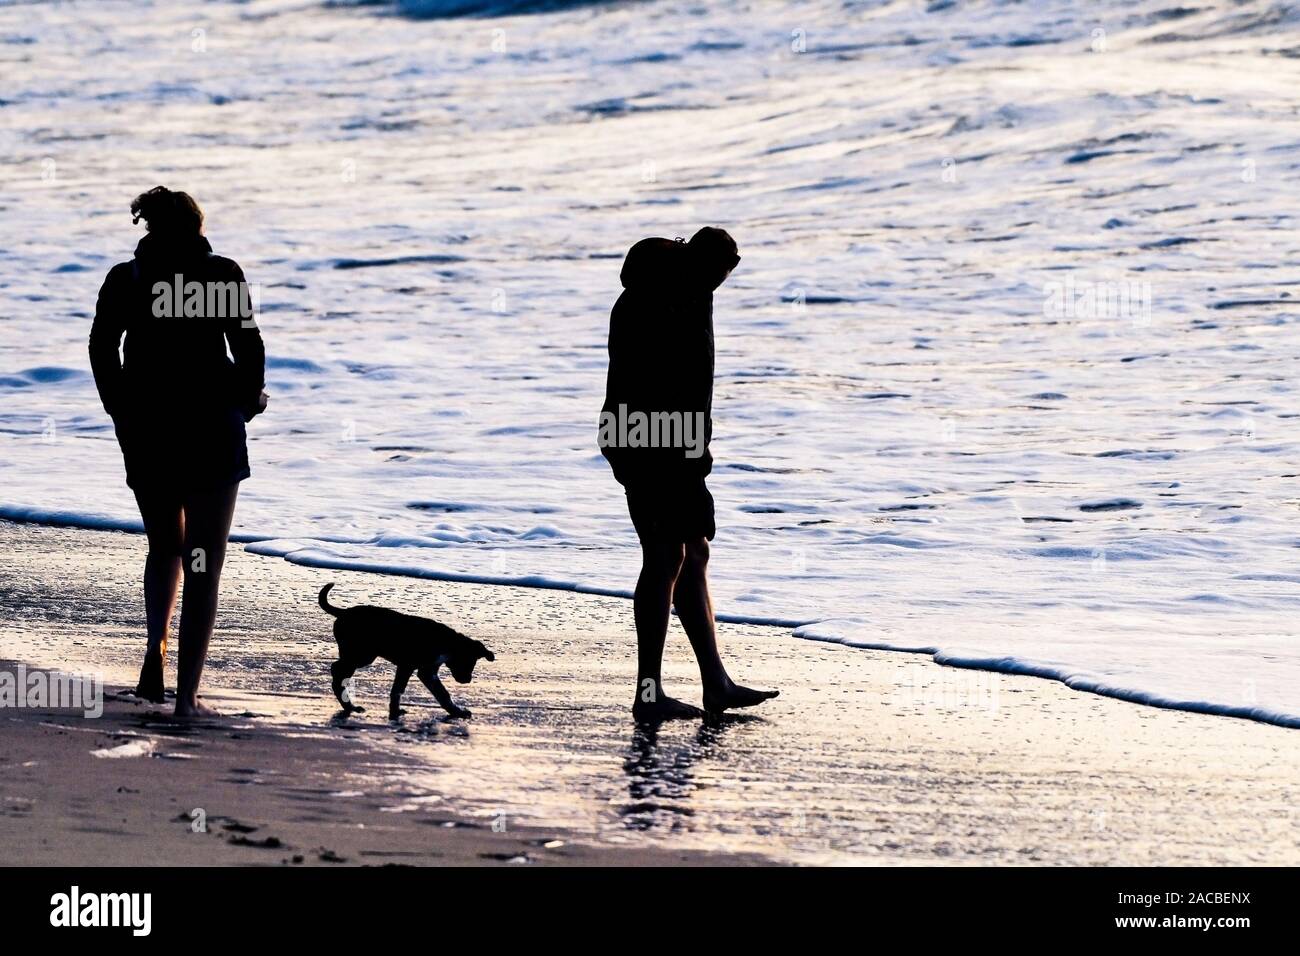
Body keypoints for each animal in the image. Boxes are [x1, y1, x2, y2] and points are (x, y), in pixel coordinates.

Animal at [317, 582, 493, 717]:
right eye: (469, 662)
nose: (467, 680)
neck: (448, 643)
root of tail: (344, 612)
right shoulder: (408, 666)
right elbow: (401, 690)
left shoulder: (427, 671)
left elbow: (441, 694)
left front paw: (456, 711)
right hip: (361, 655)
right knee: (337, 670)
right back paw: (348, 705)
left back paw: (348, 705)